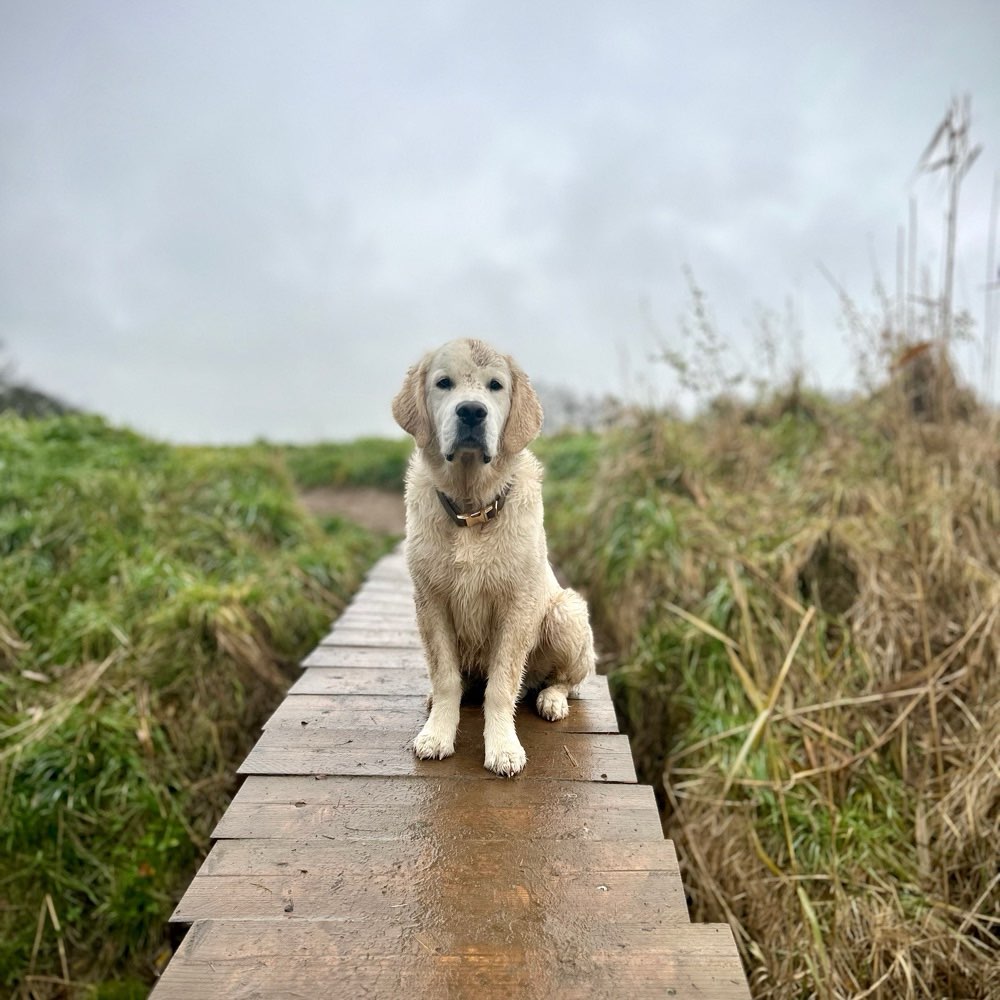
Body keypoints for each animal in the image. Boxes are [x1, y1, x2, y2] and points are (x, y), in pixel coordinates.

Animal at [390, 336, 592, 772]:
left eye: (496, 386)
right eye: (444, 383)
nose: (471, 411)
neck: (471, 510)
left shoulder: (517, 606)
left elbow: (500, 686)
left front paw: (503, 748)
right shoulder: (431, 601)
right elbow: (445, 677)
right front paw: (437, 733)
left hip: (566, 613)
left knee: (567, 680)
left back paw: (552, 699)